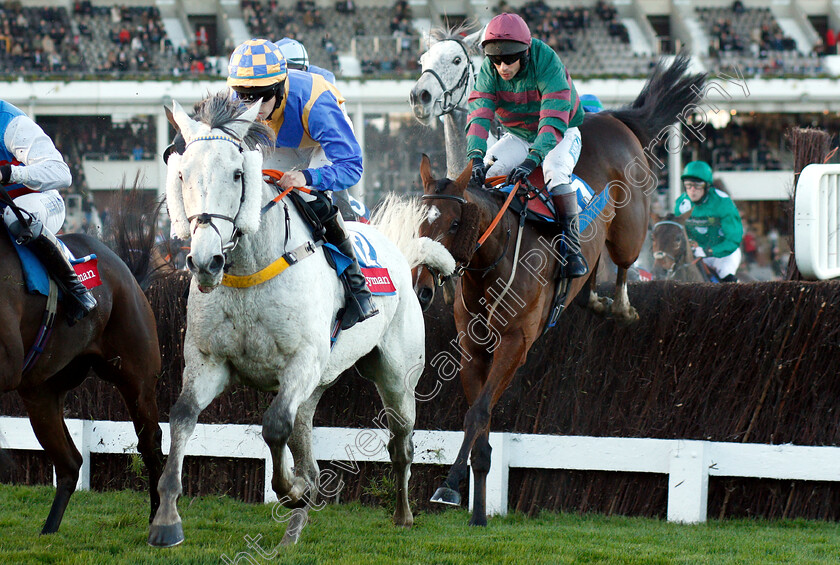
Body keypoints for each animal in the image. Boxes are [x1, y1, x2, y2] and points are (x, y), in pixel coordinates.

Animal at [0, 189, 163, 532]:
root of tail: (125, 271)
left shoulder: (6, 364)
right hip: (41, 392)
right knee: (70, 462)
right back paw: (48, 531)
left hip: (136, 376)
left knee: (150, 442)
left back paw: (159, 519)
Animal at [148, 91, 456, 548]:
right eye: (182, 174)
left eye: (238, 174)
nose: (205, 262)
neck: (250, 271)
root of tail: (399, 252)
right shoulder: (209, 362)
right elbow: (182, 416)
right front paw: (167, 519)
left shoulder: (301, 362)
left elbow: (274, 426)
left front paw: (291, 490)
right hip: (316, 386)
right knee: (308, 448)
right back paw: (292, 533)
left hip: (397, 377)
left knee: (401, 443)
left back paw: (402, 515)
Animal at [416, 54, 704, 524]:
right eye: (418, 220)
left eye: (455, 223)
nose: (422, 288)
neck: (492, 263)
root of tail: (612, 118)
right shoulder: (473, 348)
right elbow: (478, 423)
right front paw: (470, 501)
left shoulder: (516, 343)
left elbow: (478, 413)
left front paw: (450, 486)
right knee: (591, 274)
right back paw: (590, 293)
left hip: (630, 223)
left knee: (622, 261)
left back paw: (620, 306)